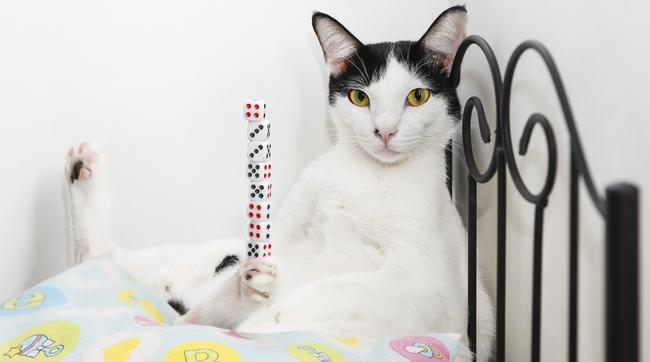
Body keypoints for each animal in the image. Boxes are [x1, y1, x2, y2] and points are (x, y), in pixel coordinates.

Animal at [64, 6, 492, 362]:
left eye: (417, 96)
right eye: (360, 97)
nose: (384, 131)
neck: (368, 173)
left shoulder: (432, 290)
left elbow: (349, 288)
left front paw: (288, 307)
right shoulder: (281, 230)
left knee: (187, 319)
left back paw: (248, 296)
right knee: (109, 262)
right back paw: (85, 171)